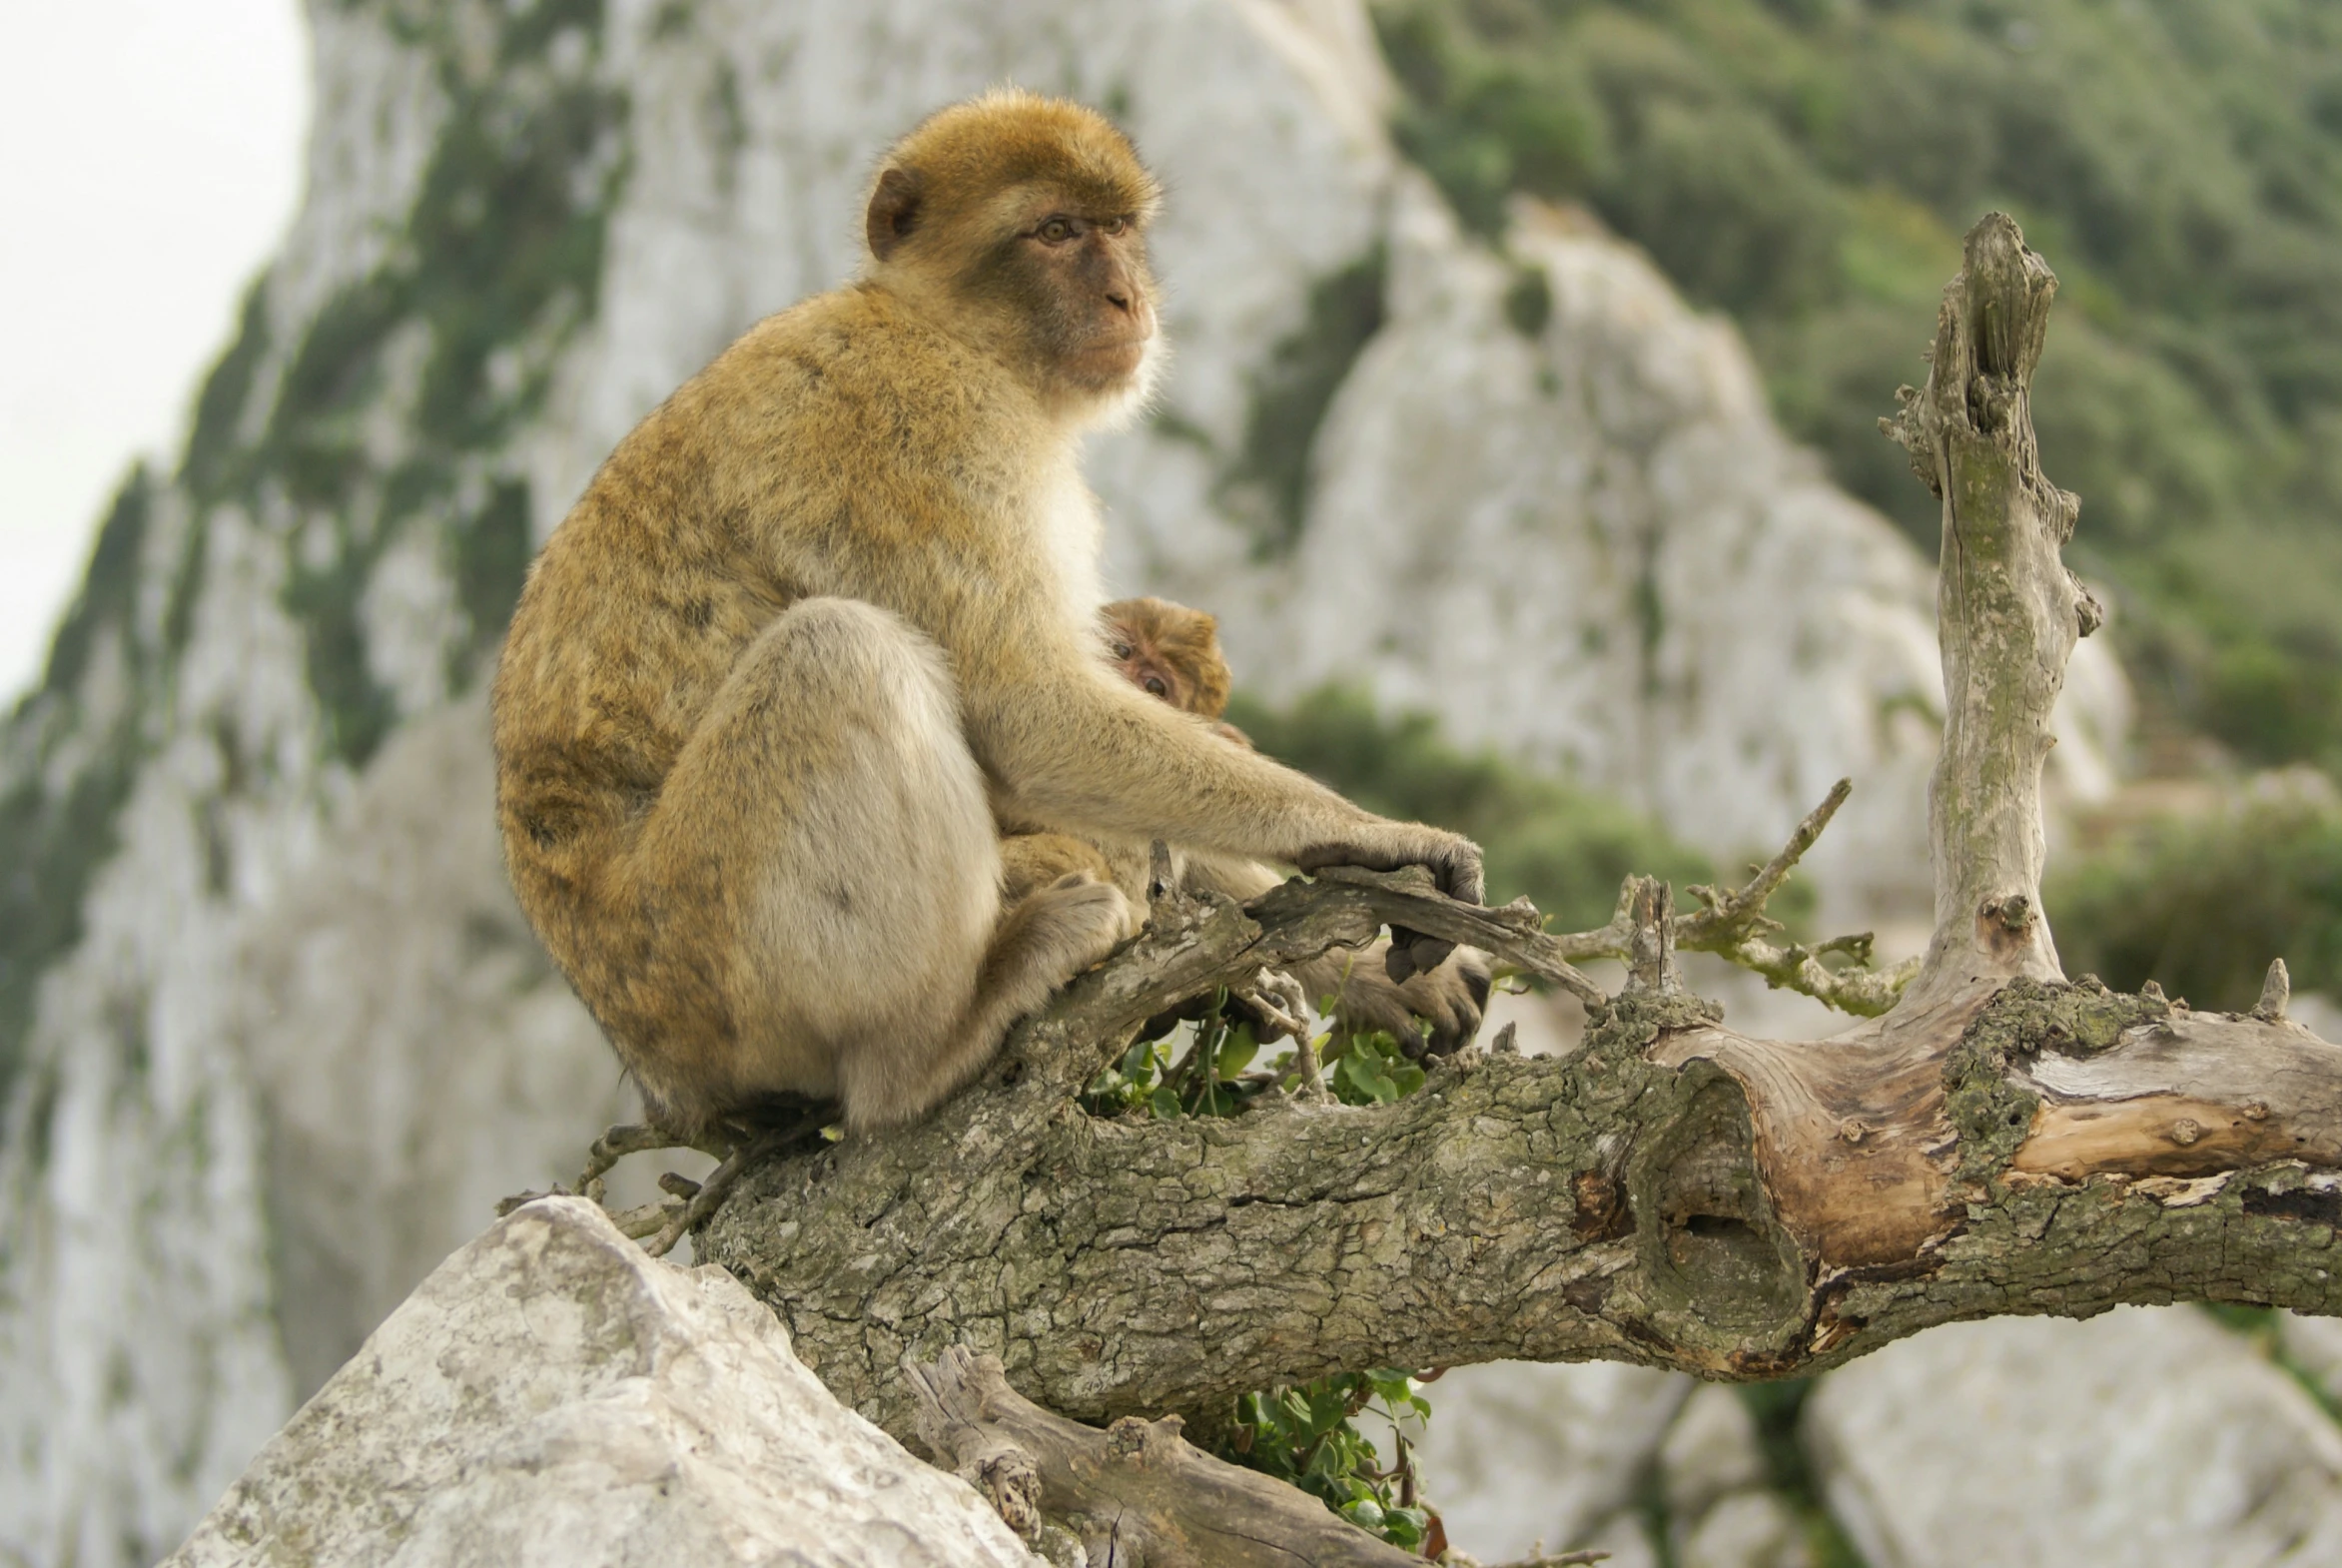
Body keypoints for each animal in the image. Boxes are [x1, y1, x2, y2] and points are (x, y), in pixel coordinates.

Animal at [493, 92, 1480, 1137]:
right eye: (1055, 232)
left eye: (1117, 227)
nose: (1128, 298)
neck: (947, 333)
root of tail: (667, 1080)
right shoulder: (920, 430)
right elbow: (1029, 710)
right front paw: (1377, 837)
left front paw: (1371, 970)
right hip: (704, 961)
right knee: (837, 650)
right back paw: (930, 1043)